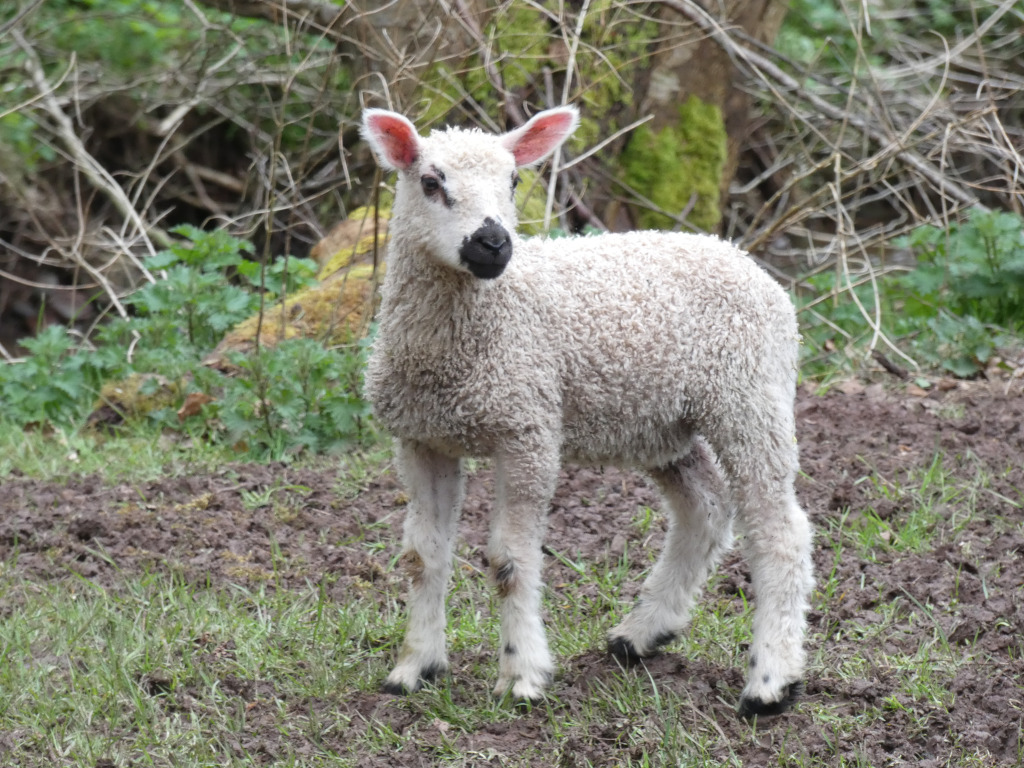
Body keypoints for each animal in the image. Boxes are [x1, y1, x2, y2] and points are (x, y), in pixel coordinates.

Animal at [359, 105, 814, 718]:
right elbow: (422, 556)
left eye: (514, 181)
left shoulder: (526, 426)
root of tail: (740, 254)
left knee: (778, 530)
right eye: (431, 182)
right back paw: (642, 634)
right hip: (662, 422)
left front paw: (521, 676)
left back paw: (770, 681)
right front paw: (413, 668)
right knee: (705, 508)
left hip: (749, 393)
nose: (492, 242)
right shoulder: (420, 439)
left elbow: (509, 561)